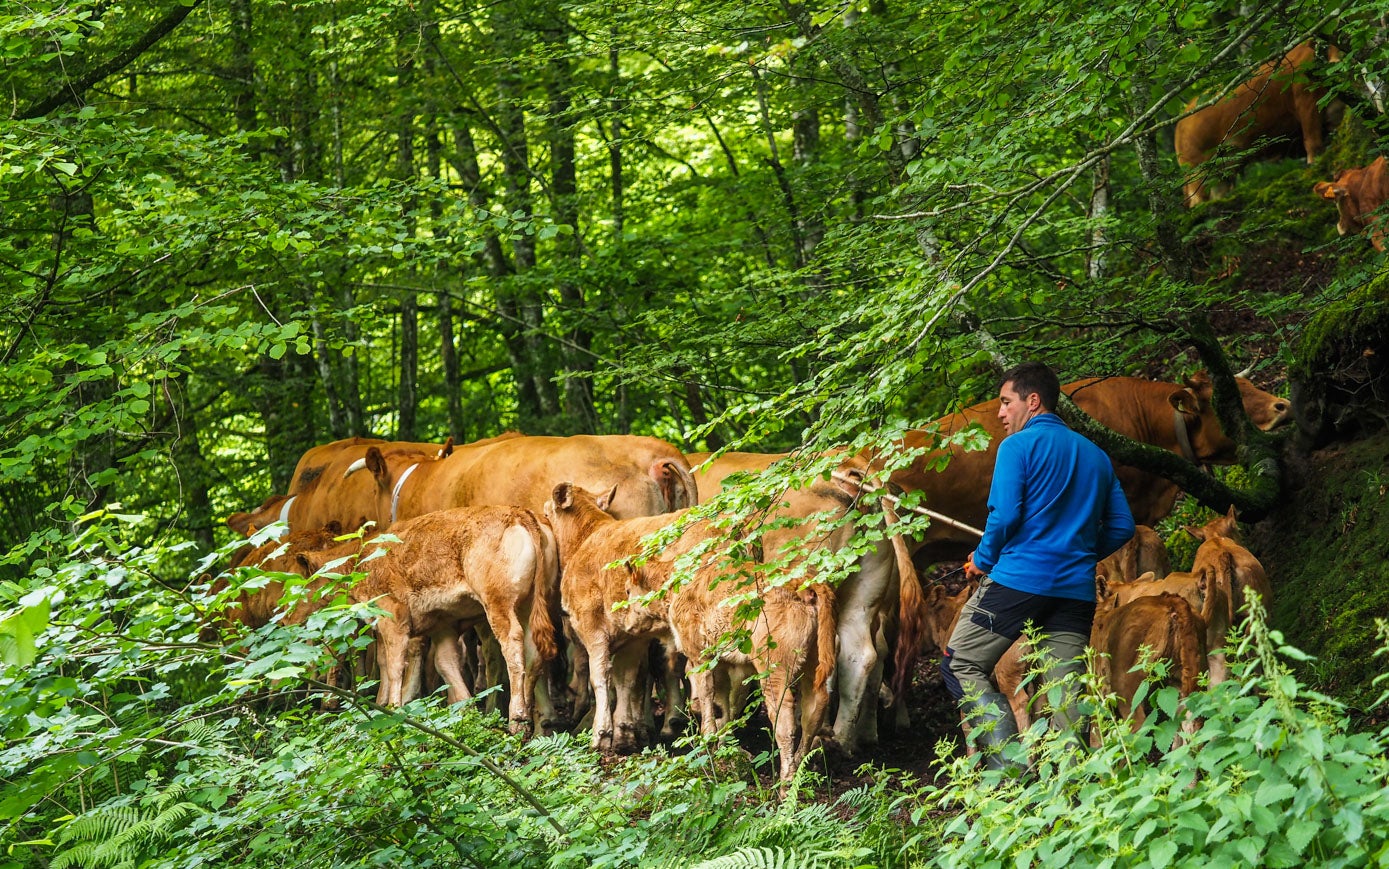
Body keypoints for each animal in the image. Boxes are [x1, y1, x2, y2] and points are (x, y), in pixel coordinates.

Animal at [1177, 43, 1338, 206]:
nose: (1336, 62)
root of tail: (1181, 121)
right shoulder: (1307, 102)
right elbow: (1313, 142)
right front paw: (1314, 165)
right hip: (1197, 167)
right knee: (1197, 199)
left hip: (1223, 164)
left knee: (1218, 190)